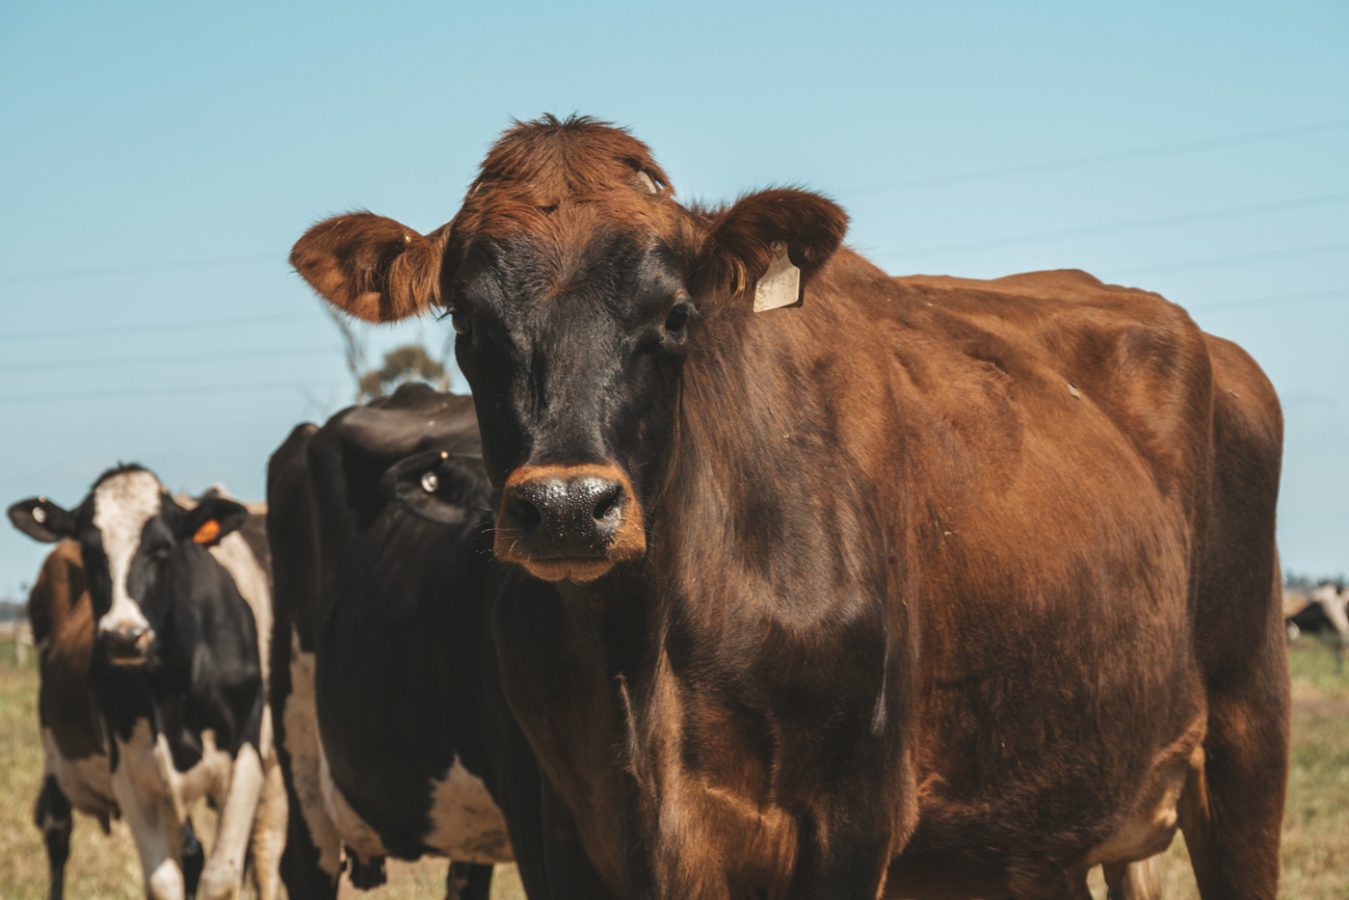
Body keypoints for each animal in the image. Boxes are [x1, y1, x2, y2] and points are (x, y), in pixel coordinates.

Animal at [8, 472, 287, 900]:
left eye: (163, 548)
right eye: (91, 549)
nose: (124, 637)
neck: (172, 682)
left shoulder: (246, 758)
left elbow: (220, 876)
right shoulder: (131, 771)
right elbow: (163, 881)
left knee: (263, 849)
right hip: (56, 757)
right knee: (57, 832)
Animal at [292, 116, 1284, 895]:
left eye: (677, 316)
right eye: (465, 323)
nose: (569, 507)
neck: (643, 661)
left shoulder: (849, 820)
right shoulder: (556, 823)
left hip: (1245, 746)